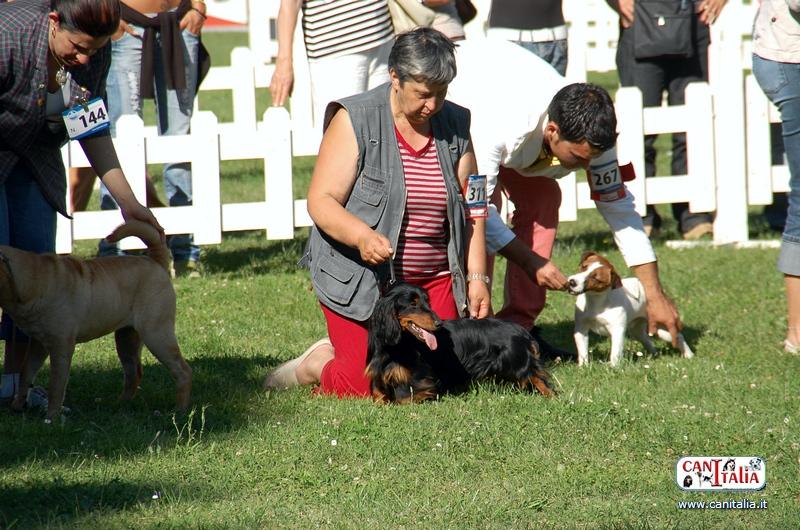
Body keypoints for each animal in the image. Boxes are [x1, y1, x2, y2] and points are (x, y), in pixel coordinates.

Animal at [0, 219, 192, 416]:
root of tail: (155, 261)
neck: (35, 279)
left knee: (183, 370)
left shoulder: (61, 345)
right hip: (126, 339)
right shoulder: (38, 343)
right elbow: (26, 372)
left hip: (156, 334)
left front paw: (51, 417)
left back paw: (180, 410)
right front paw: (17, 405)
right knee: (134, 373)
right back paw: (120, 404)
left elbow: (56, 385)